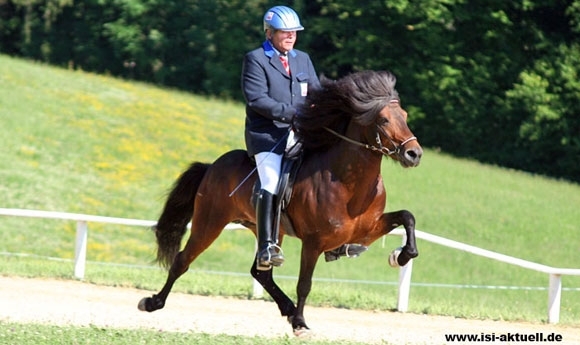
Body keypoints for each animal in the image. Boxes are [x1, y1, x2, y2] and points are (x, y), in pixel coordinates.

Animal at [138, 69, 424, 334]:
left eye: (405, 116)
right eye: (383, 119)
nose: (414, 154)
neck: (348, 184)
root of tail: (211, 167)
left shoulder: (365, 230)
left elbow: (407, 216)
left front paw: (401, 255)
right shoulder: (314, 242)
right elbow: (304, 283)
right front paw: (300, 323)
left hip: (266, 230)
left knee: (260, 272)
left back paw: (286, 308)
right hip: (209, 223)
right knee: (182, 260)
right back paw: (152, 302)